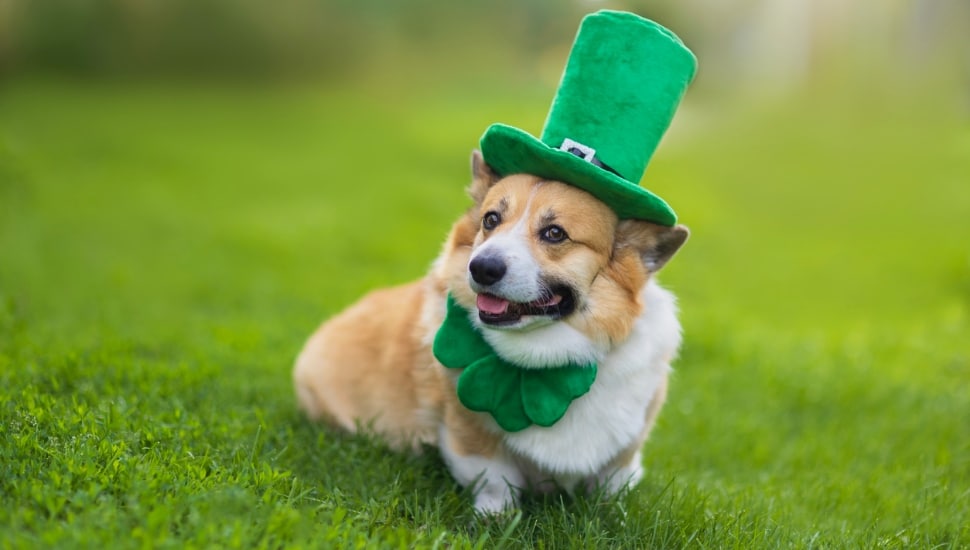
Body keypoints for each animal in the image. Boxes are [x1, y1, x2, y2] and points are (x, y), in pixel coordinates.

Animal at [292, 153, 684, 516]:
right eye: (490, 219)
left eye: (555, 233)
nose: (480, 267)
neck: (551, 365)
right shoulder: (470, 435)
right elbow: (496, 479)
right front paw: (495, 518)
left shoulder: (625, 448)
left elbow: (611, 484)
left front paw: (611, 515)